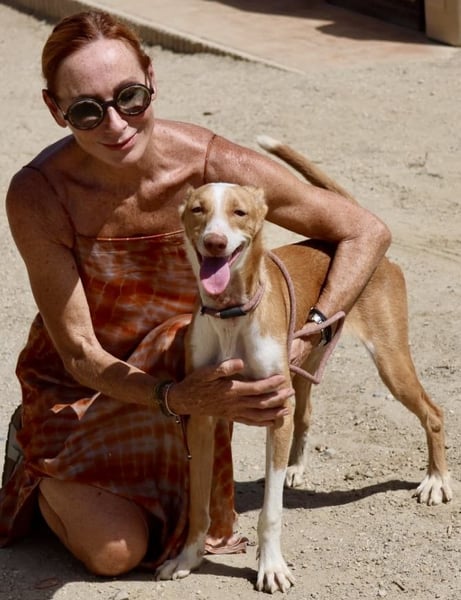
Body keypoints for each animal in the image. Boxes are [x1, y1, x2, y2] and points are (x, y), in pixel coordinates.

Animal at [156, 138, 452, 593]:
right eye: (197, 210)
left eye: (239, 212)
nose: (215, 243)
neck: (231, 317)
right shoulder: (203, 414)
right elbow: (199, 507)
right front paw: (187, 557)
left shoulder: (275, 410)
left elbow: (271, 512)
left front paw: (271, 566)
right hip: (304, 368)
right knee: (307, 412)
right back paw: (295, 468)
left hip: (391, 363)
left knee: (433, 412)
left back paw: (436, 481)